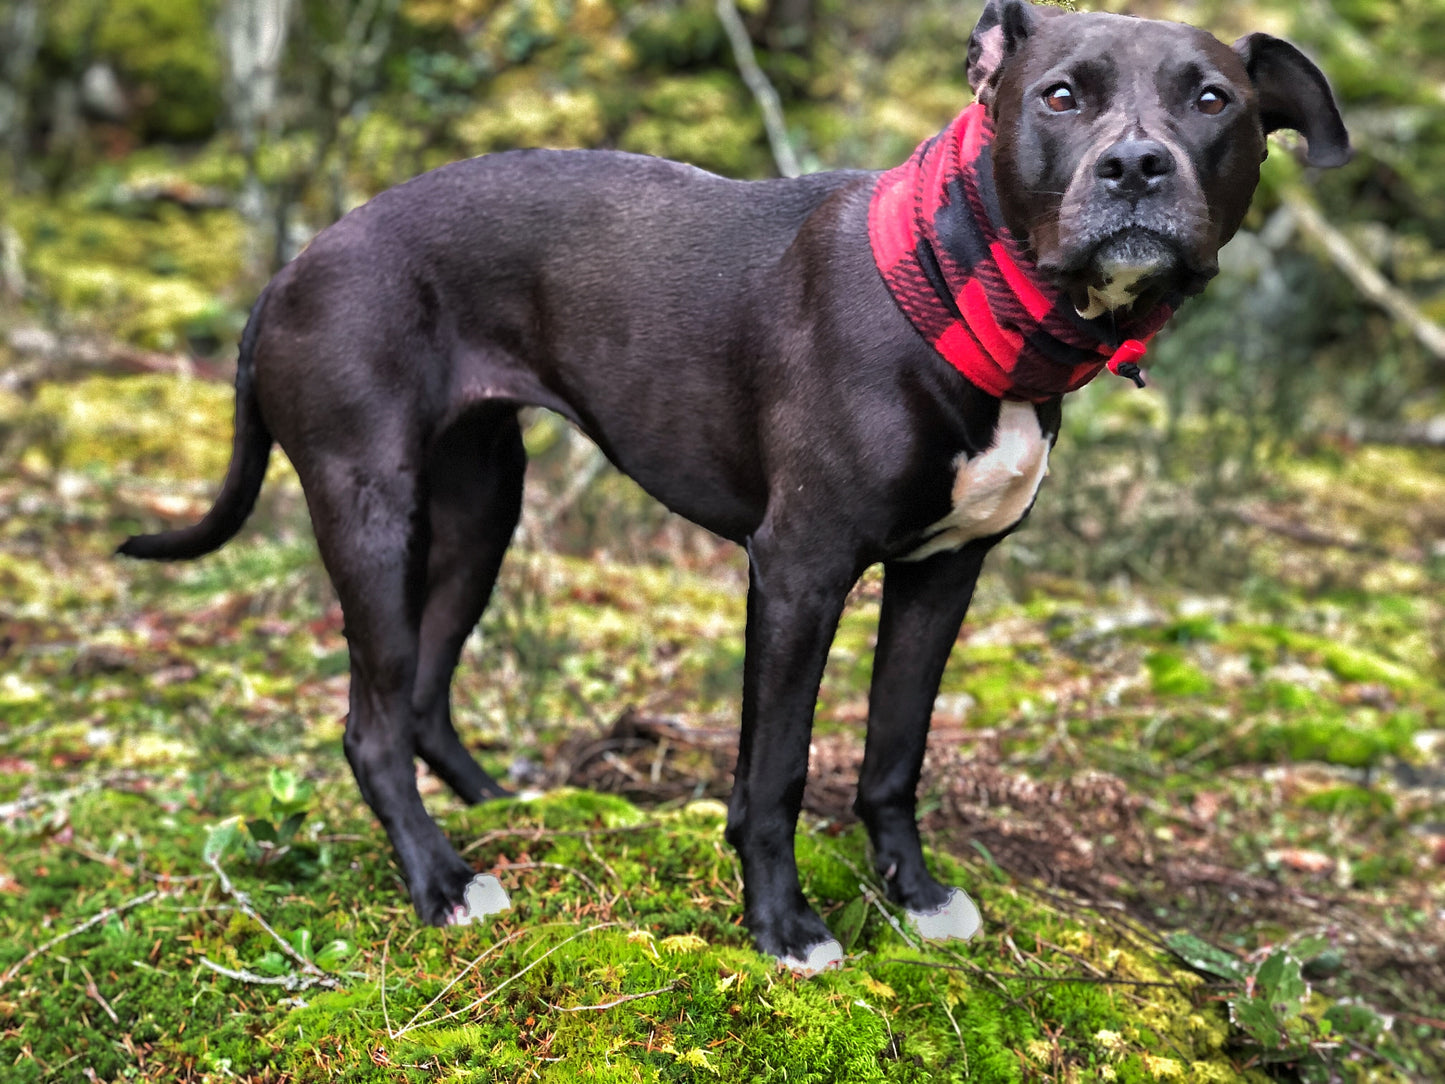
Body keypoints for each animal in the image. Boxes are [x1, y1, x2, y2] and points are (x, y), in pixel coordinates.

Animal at [118, 0, 1346, 971]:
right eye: (1058, 97)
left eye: (1212, 101)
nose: (1135, 167)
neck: (967, 288)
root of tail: (294, 265)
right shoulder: (798, 572)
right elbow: (776, 773)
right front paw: (783, 927)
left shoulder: (944, 574)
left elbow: (893, 751)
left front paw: (913, 895)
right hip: (370, 508)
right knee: (370, 725)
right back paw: (444, 882)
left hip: (478, 506)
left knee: (419, 692)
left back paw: (511, 810)